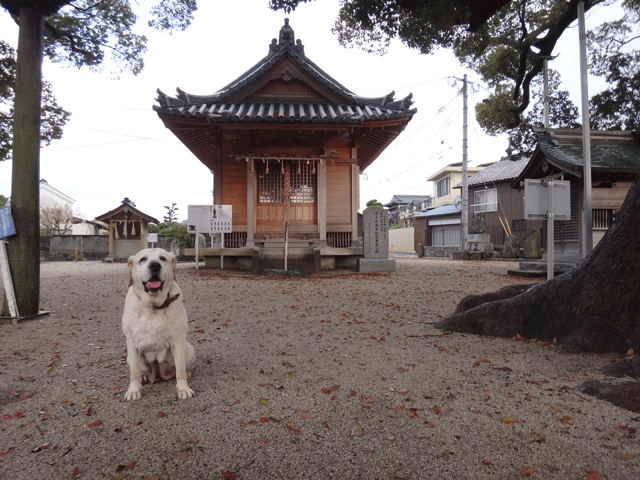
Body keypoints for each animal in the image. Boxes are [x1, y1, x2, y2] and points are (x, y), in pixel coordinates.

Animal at [122, 249, 195, 400]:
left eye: (163, 258)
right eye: (143, 259)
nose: (155, 265)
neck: (153, 306)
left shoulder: (177, 341)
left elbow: (180, 369)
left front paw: (183, 388)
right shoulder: (132, 343)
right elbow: (134, 372)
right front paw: (133, 390)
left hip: (189, 349)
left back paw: (188, 373)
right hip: (129, 358)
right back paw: (143, 377)